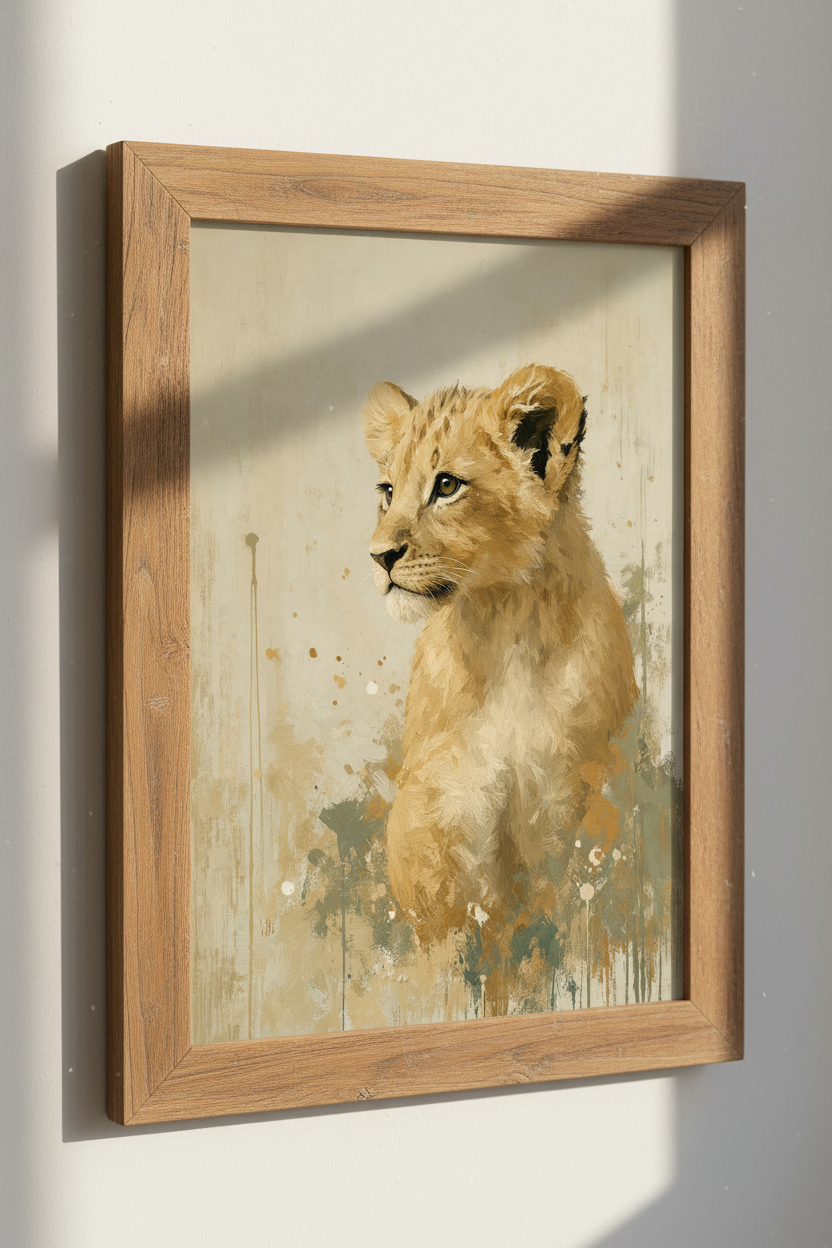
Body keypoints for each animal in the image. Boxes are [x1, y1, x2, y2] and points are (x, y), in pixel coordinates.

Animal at [363, 364, 638, 945]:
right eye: (388, 491)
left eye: (446, 485)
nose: (378, 556)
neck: (505, 625)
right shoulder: (441, 804)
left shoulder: (573, 792)